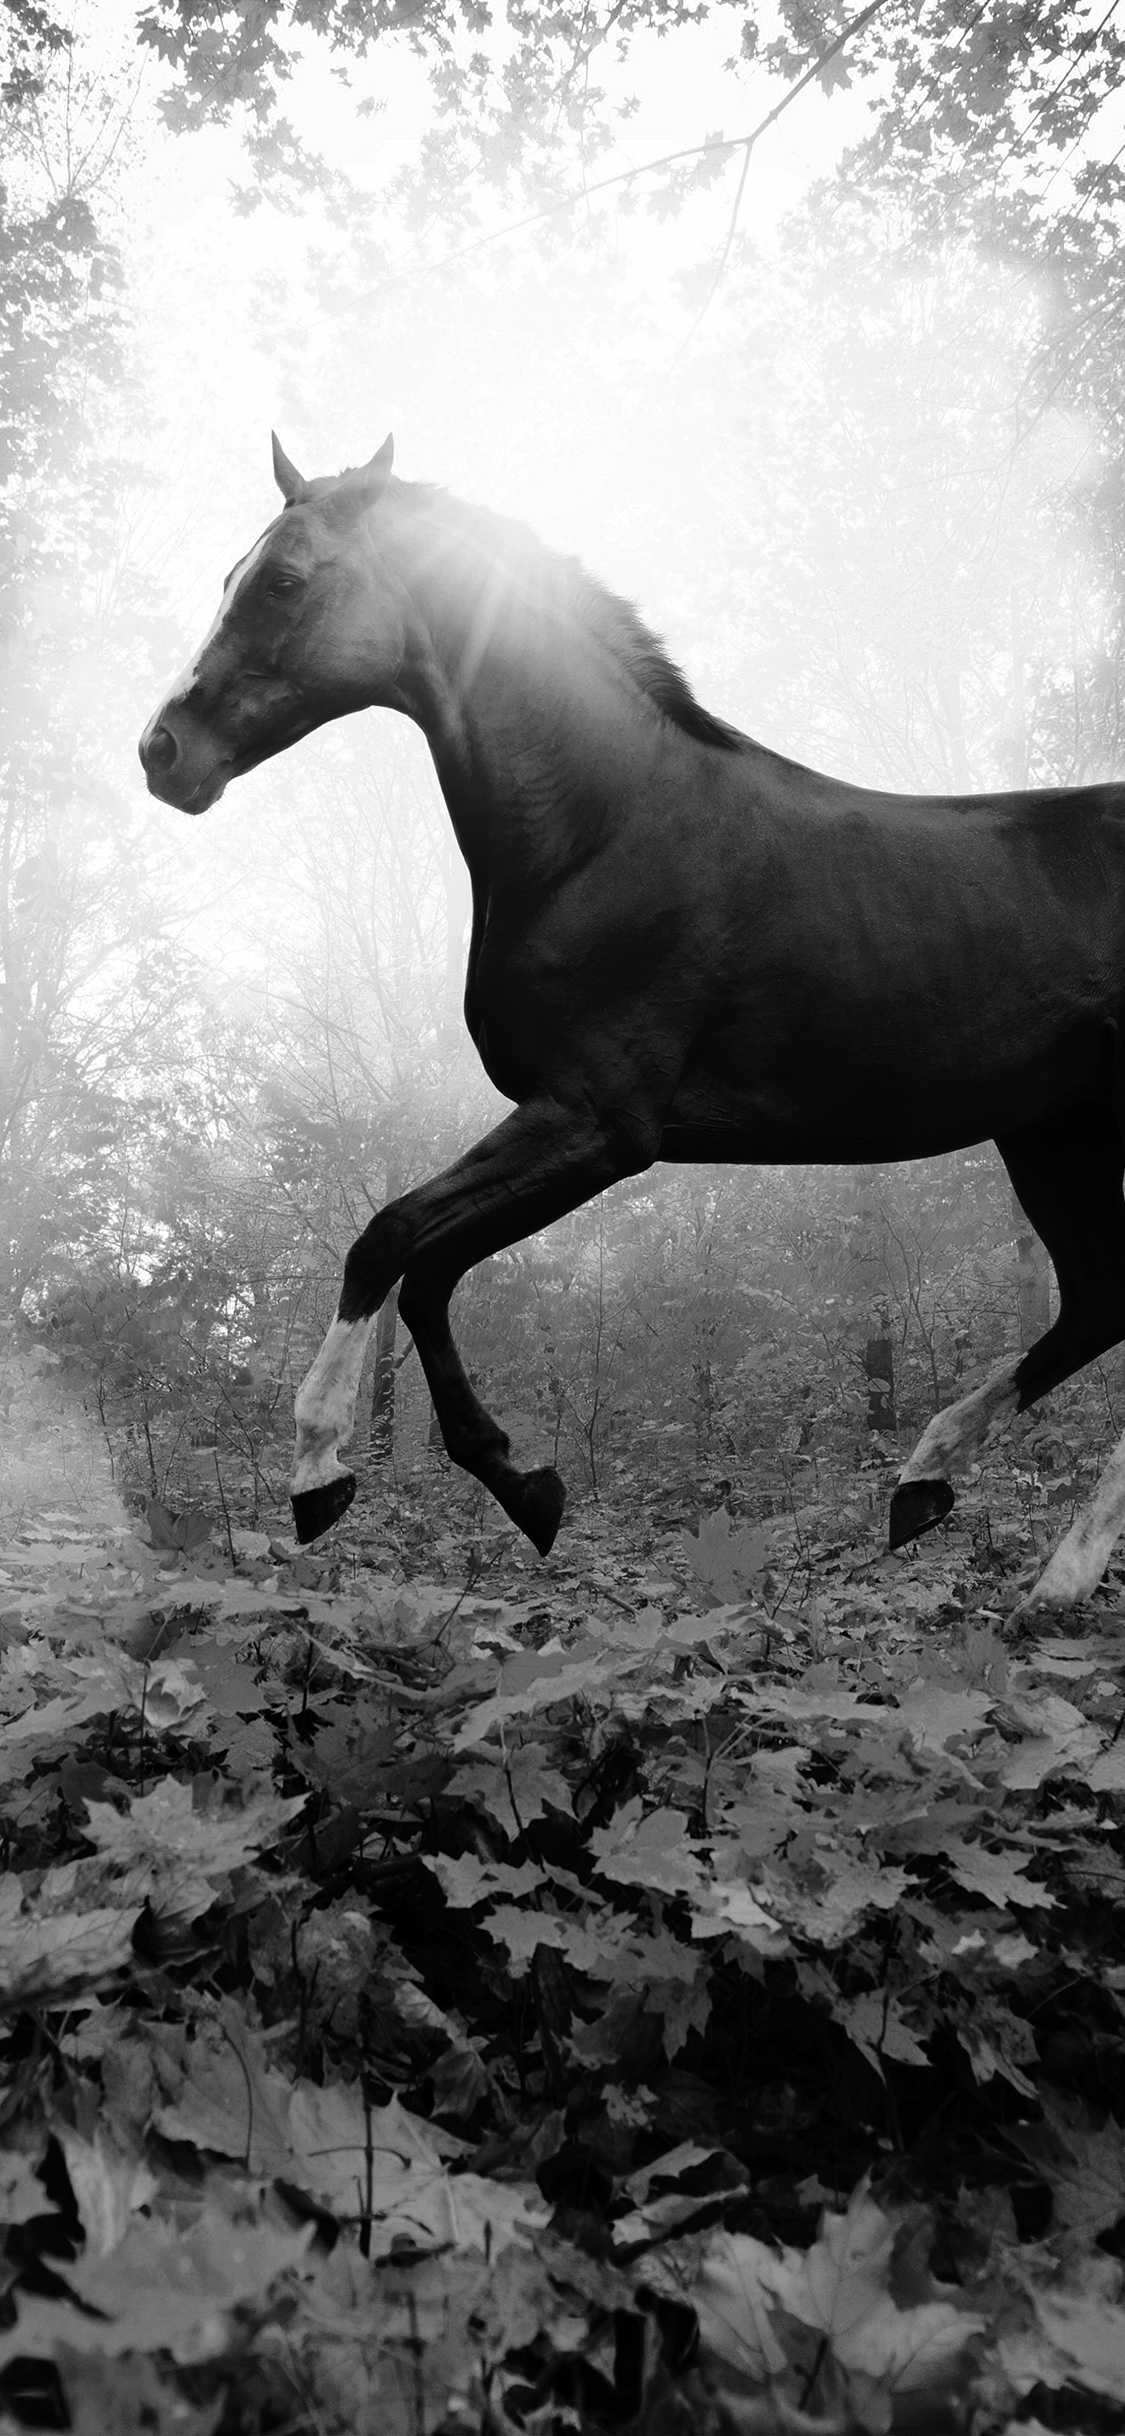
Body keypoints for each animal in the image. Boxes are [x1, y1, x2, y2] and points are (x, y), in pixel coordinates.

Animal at [140, 435, 1125, 1606]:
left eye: (284, 581)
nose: (162, 751)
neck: (603, 830)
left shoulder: (598, 1125)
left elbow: (390, 1242)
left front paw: (320, 1473)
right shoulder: (570, 1127)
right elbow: (427, 1272)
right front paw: (524, 1486)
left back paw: (1055, 1571)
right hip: (1053, 1129)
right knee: (1098, 1304)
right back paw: (931, 1491)